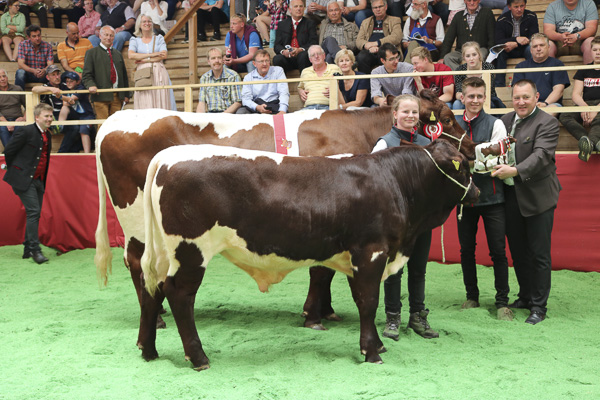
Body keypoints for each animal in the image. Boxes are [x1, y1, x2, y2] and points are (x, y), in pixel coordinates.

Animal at [139, 140, 478, 368]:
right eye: (464, 165)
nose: (477, 192)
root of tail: (167, 155)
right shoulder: (371, 252)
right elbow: (368, 302)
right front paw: (370, 352)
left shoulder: (355, 257)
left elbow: (360, 300)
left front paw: (377, 345)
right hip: (191, 251)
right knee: (180, 295)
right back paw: (198, 357)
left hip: (163, 253)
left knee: (152, 289)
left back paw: (148, 350)